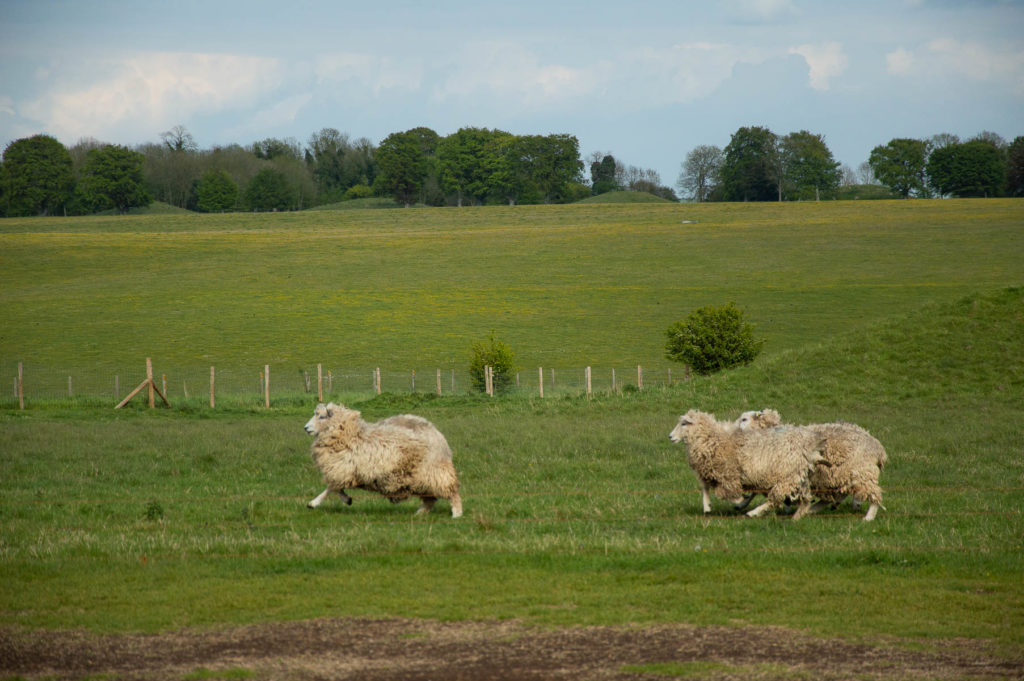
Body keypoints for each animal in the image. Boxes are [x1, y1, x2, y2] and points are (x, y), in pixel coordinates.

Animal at [303, 401, 464, 518]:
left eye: (321, 417)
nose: (306, 428)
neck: (350, 435)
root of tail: (439, 436)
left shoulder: (343, 469)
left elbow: (331, 488)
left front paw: (313, 503)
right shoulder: (345, 471)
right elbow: (335, 488)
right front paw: (347, 499)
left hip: (434, 472)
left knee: (451, 492)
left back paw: (456, 514)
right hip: (420, 479)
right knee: (430, 499)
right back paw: (420, 513)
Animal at [667, 409, 827, 520]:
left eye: (683, 423)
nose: (670, 436)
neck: (712, 438)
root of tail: (810, 444)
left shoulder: (728, 474)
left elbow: (726, 492)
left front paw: (739, 500)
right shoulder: (711, 471)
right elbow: (705, 487)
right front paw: (707, 506)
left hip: (786, 476)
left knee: (776, 499)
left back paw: (754, 512)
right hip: (797, 477)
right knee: (804, 499)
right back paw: (797, 516)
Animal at [733, 409, 884, 520]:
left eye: (744, 419)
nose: (733, 429)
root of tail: (878, 448)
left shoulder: (780, 470)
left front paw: (751, 509)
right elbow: (755, 491)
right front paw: (742, 504)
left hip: (860, 471)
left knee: (872, 494)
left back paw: (868, 516)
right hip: (839, 475)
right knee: (839, 495)